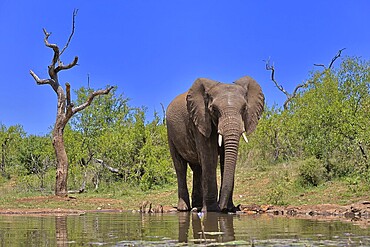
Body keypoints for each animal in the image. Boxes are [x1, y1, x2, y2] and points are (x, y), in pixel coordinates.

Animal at [166, 75, 264, 212]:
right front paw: (212, 210)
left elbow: (224, 159)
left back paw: (197, 206)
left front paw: (228, 208)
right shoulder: (200, 120)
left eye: (244, 108)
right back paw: (184, 209)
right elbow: (210, 156)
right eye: (214, 110)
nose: (222, 207)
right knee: (180, 166)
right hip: (170, 133)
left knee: (197, 168)